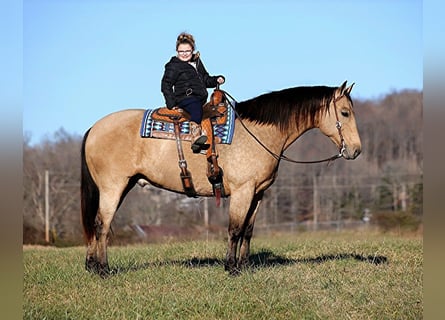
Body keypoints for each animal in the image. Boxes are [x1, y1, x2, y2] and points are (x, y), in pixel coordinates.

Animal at [80, 79, 360, 276]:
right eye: (345, 113)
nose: (356, 150)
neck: (259, 133)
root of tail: (94, 128)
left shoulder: (258, 193)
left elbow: (248, 230)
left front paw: (245, 265)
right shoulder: (242, 191)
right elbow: (234, 228)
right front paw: (231, 267)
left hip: (122, 186)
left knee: (97, 226)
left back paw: (92, 266)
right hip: (112, 188)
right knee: (102, 225)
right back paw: (103, 270)